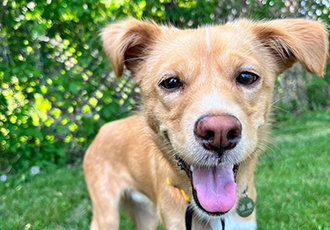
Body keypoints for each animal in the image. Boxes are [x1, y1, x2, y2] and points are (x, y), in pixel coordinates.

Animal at [84, 18, 328, 230]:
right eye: (171, 82)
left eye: (247, 77)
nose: (219, 132)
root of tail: (103, 129)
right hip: (106, 216)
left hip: (147, 215)